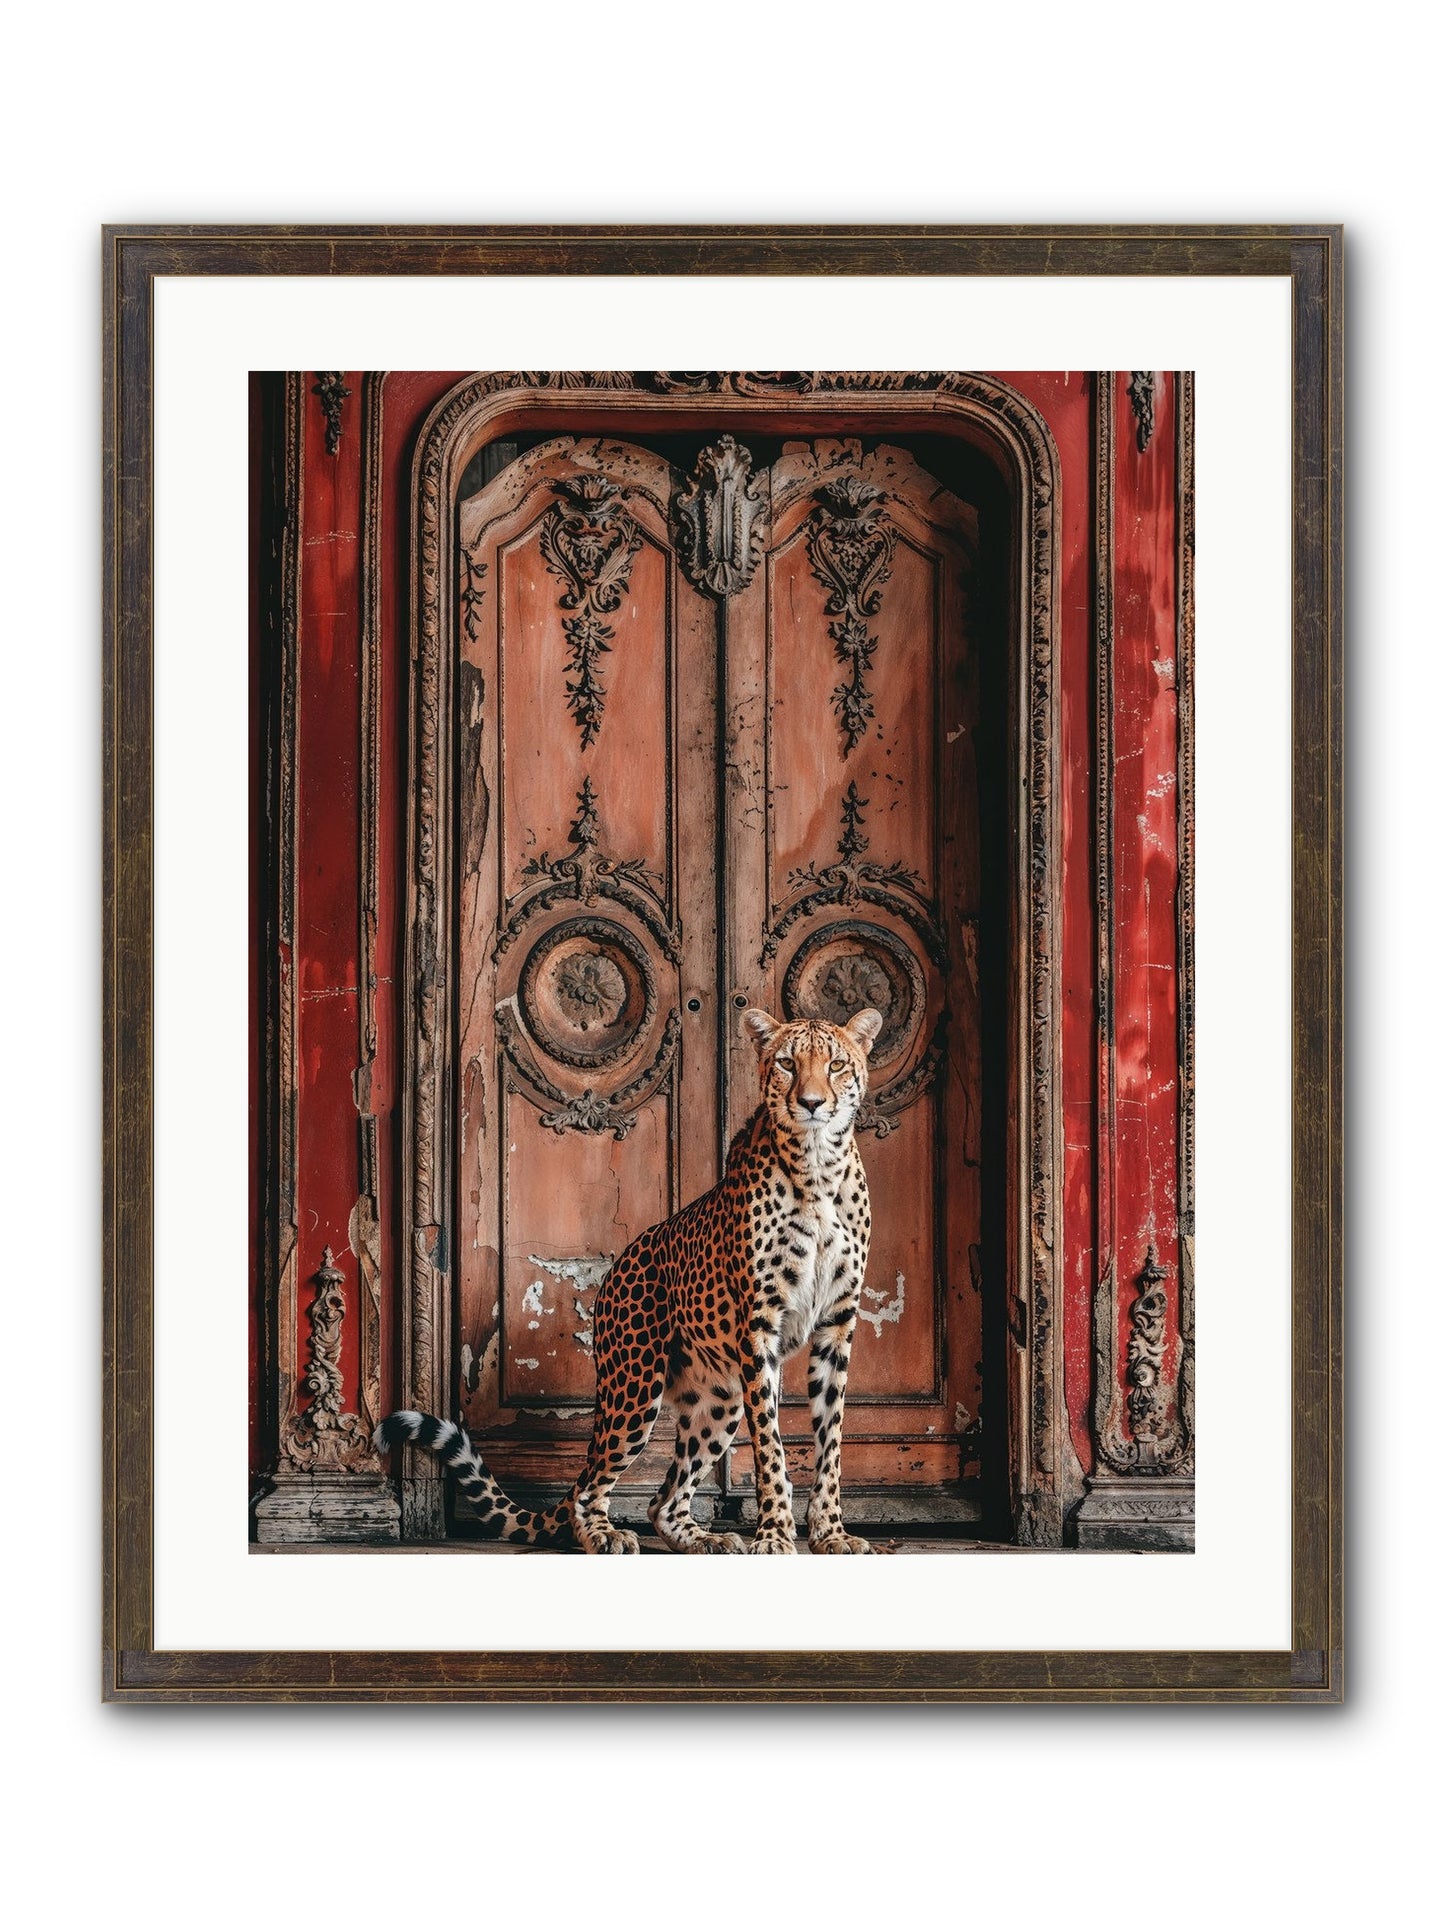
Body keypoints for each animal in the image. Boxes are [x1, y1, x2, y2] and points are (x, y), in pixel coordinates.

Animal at [375, 1004, 883, 1554]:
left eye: (836, 1064)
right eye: (788, 1064)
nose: (811, 1103)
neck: (818, 1168)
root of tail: (618, 1264)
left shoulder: (837, 1323)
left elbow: (830, 1440)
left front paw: (831, 1533)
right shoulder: (760, 1326)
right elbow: (770, 1443)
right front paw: (773, 1535)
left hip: (719, 1399)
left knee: (662, 1501)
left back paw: (706, 1539)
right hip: (635, 1387)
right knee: (590, 1487)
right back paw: (606, 1534)